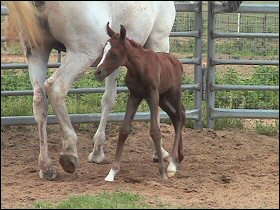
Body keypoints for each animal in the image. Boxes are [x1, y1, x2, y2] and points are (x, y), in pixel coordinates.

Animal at [94, 22, 186, 180]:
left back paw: (172, 165)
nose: (98, 72)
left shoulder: (152, 94)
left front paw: (162, 172)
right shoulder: (135, 95)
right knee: (176, 116)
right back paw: (178, 157)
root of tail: (177, 62)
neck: (139, 67)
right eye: (103, 51)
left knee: (180, 116)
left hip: (173, 93)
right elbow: (124, 129)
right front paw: (112, 172)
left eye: (114, 54)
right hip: (163, 98)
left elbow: (155, 131)